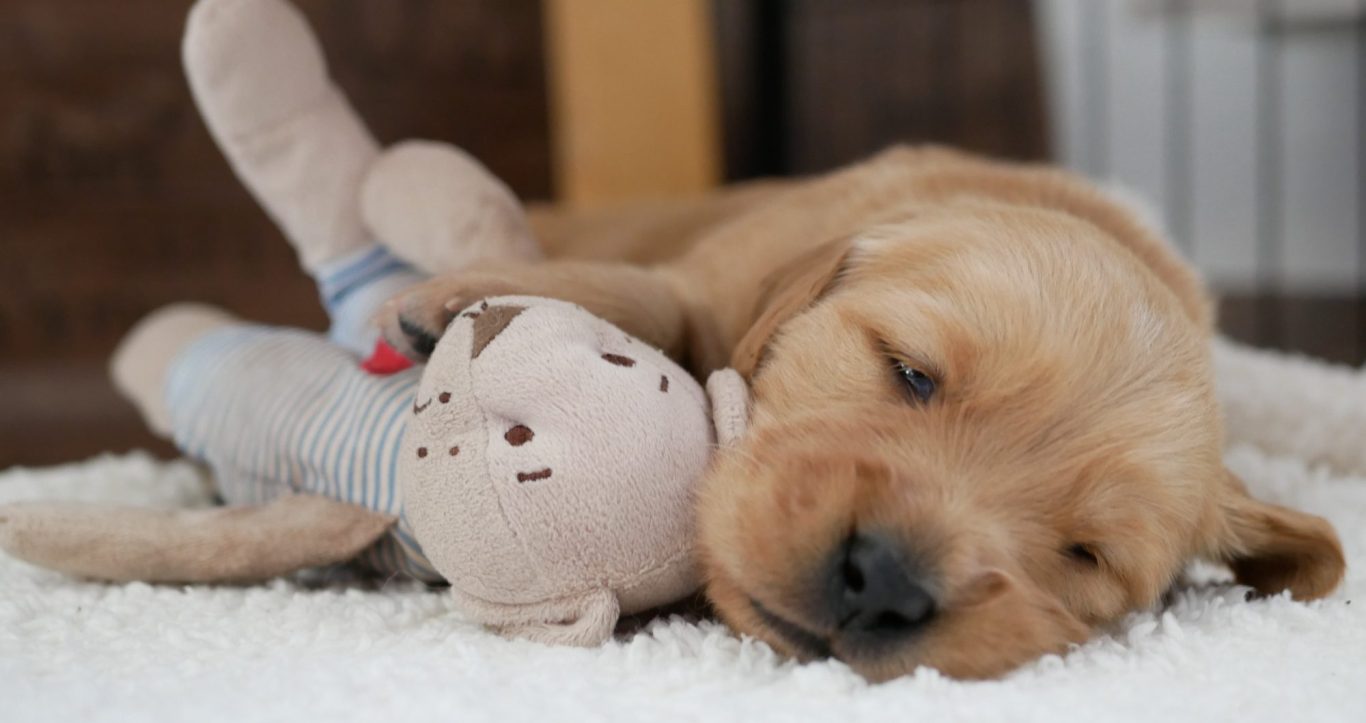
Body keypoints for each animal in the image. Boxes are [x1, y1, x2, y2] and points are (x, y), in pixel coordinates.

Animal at [377, 148, 1344, 683]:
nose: (881, 581)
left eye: (1088, 554)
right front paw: (456, 301)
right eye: (909, 371)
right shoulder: (714, 276)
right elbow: (651, 293)